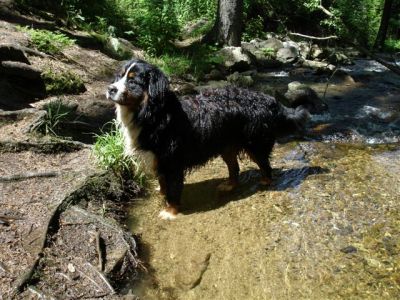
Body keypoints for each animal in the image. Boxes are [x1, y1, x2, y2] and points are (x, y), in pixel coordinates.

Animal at [108, 58, 314, 219]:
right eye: (119, 77)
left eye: (133, 81)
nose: (110, 89)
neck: (154, 115)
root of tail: (269, 99)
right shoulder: (159, 159)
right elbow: (163, 182)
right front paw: (161, 194)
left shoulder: (173, 161)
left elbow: (174, 189)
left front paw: (170, 211)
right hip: (228, 147)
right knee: (234, 169)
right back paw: (228, 185)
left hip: (255, 144)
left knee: (266, 167)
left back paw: (264, 183)